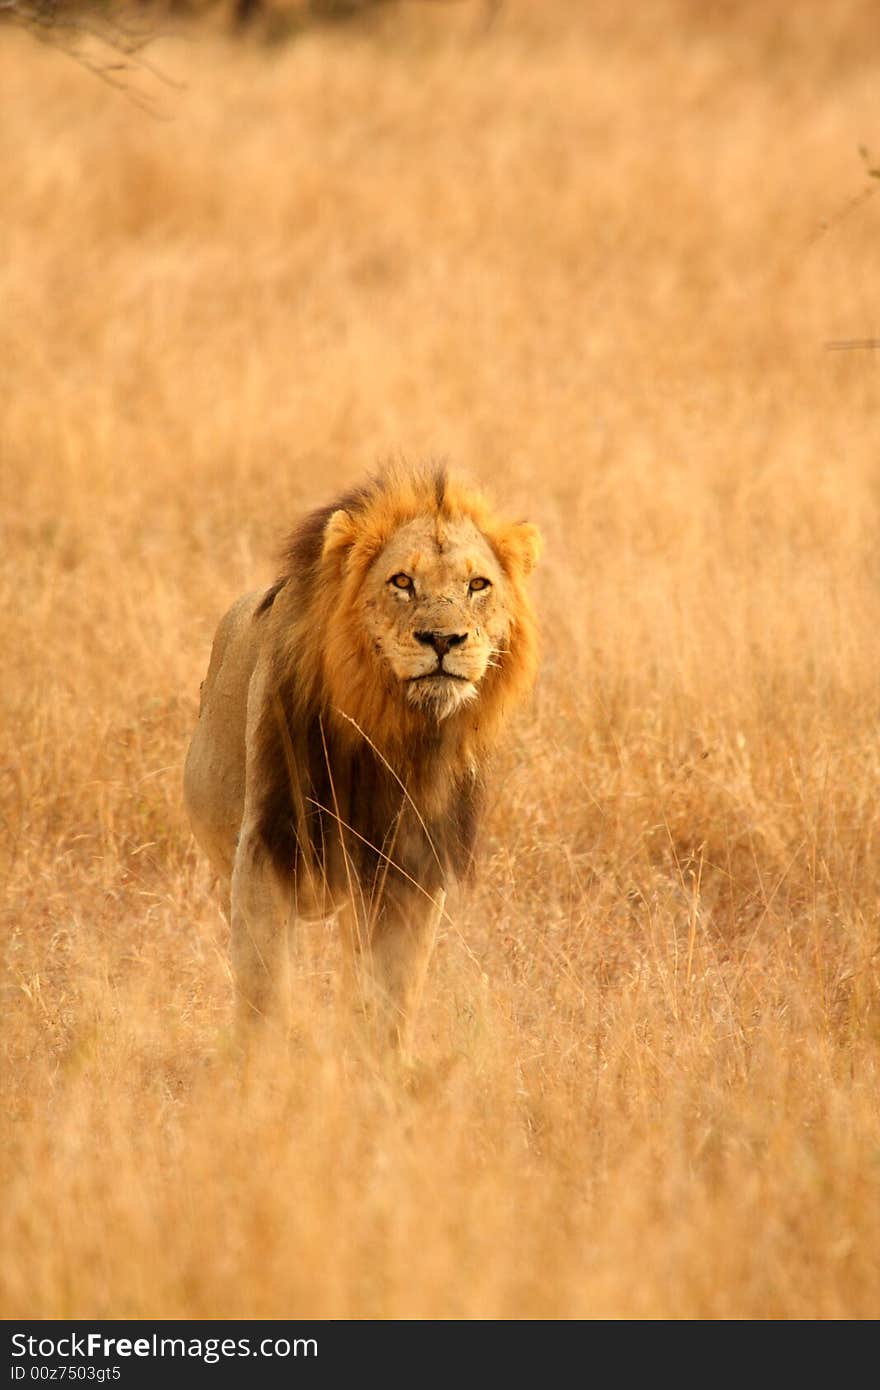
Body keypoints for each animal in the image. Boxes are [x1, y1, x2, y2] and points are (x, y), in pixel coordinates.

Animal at [184, 461, 539, 1045]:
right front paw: (262, 1065)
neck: (395, 734)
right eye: (402, 582)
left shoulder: (411, 868)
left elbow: (392, 990)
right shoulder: (270, 844)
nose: (444, 640)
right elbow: (264, 985)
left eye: (477, 585)